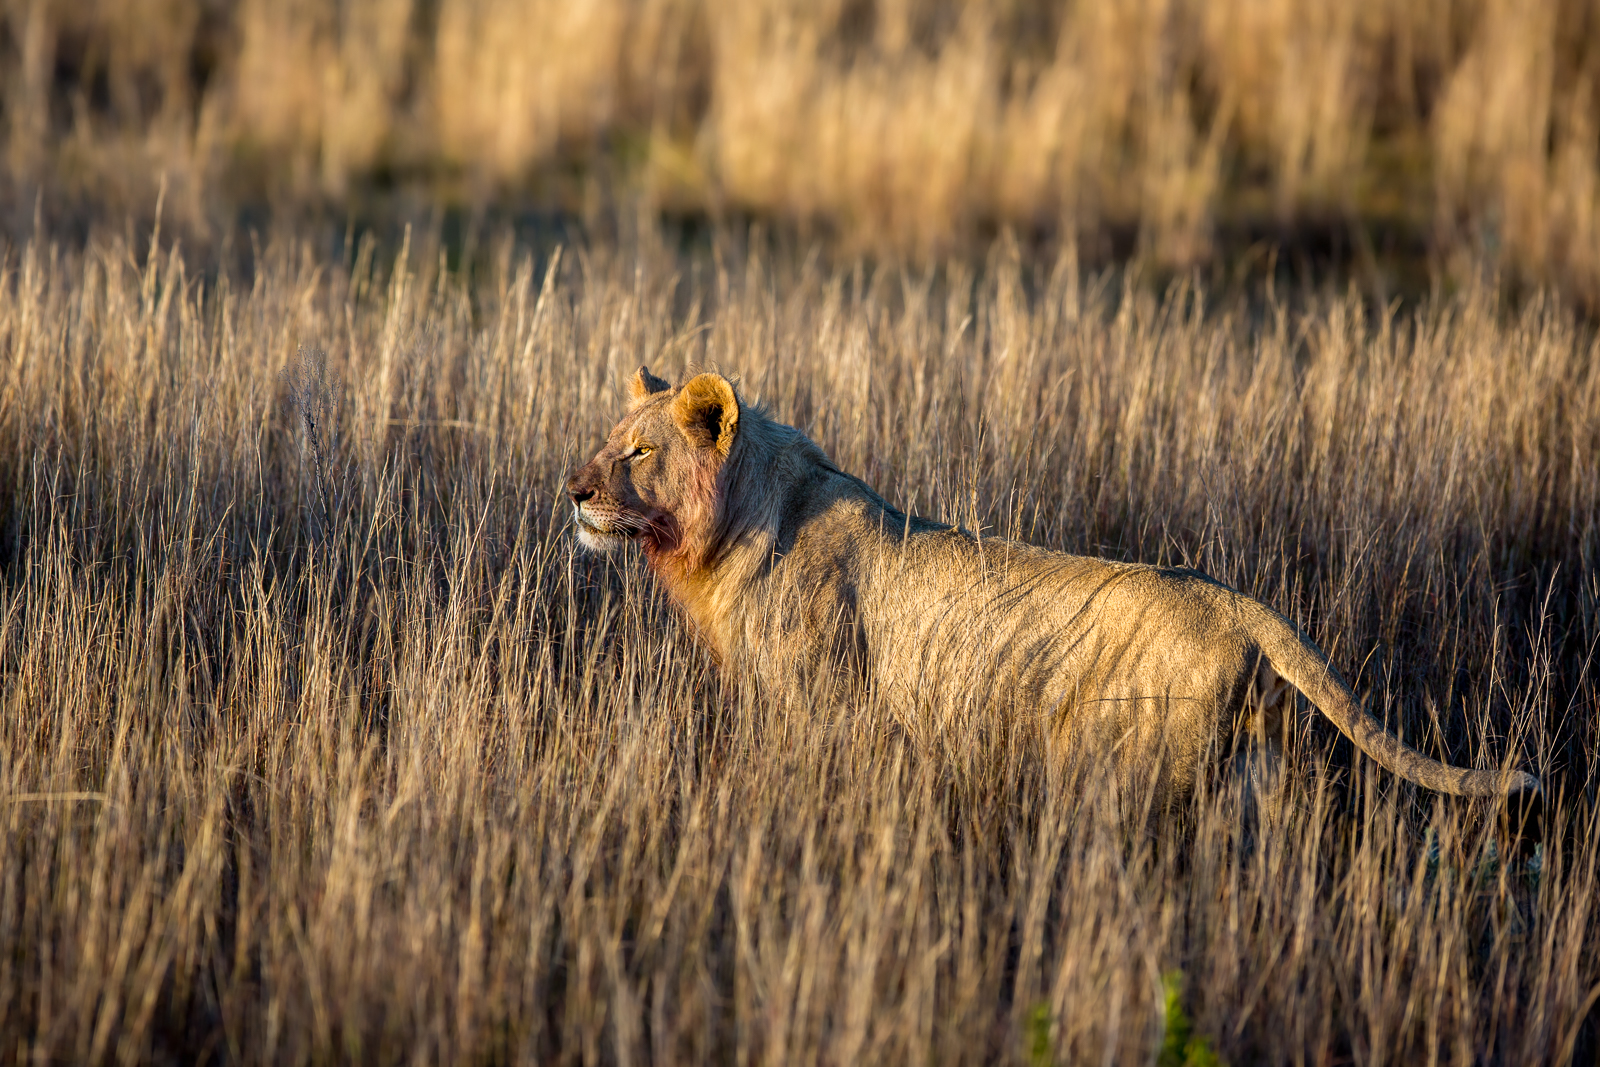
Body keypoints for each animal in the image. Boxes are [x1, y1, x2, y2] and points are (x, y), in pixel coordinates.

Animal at [569, 367, 1542, 809]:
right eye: (607, 441)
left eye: (639, 452)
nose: (571, 490)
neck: (734, 527)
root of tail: (1239, 601)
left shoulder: (824, 710)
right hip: (1251, 773)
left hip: (1120, 768)